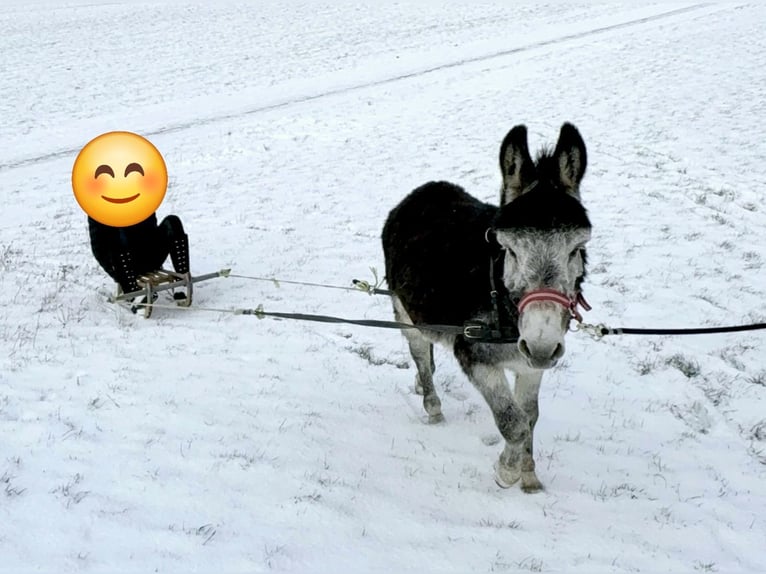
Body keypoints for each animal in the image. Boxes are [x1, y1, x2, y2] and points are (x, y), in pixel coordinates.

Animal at [381, 123, 591, 492]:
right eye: (510, 249)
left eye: (576, 248)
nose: (540, 346)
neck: (502, 304)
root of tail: (422, 191)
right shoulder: (475, 356)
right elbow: (512, 422)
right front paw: (507, 472)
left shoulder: (530, 365)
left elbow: (529, 417)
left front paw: (529, 476)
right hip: (404, 313)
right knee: (419, 354)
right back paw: (432, 407)